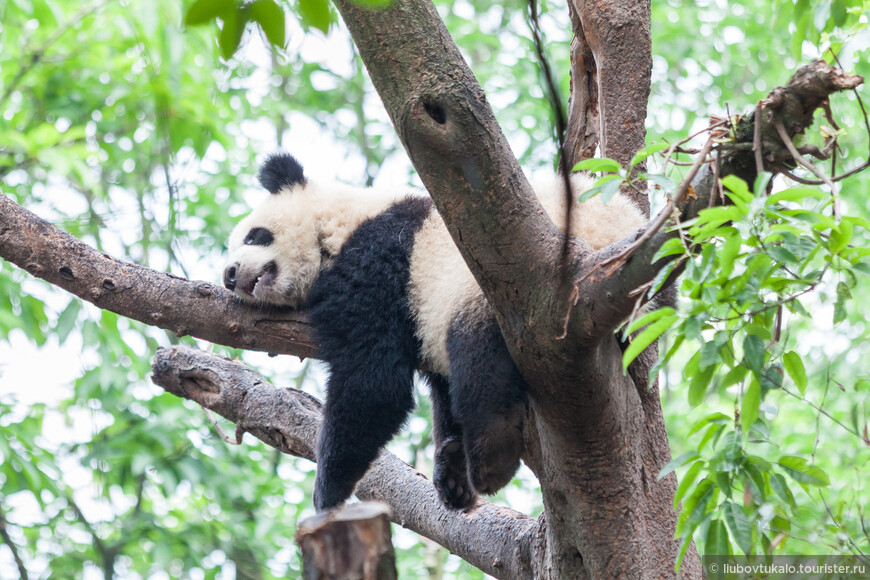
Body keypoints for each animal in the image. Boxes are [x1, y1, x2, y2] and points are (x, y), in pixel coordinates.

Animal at [225, 152, 648, 510]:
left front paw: (328, 492)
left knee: (479, 361)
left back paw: (490, 458)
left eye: (255, 235)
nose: (229, 274)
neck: (343, 222)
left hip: (511, 287)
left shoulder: (380, 261)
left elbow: (374, 383)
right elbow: (434, 388)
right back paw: (458, 469)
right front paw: (450, 472)